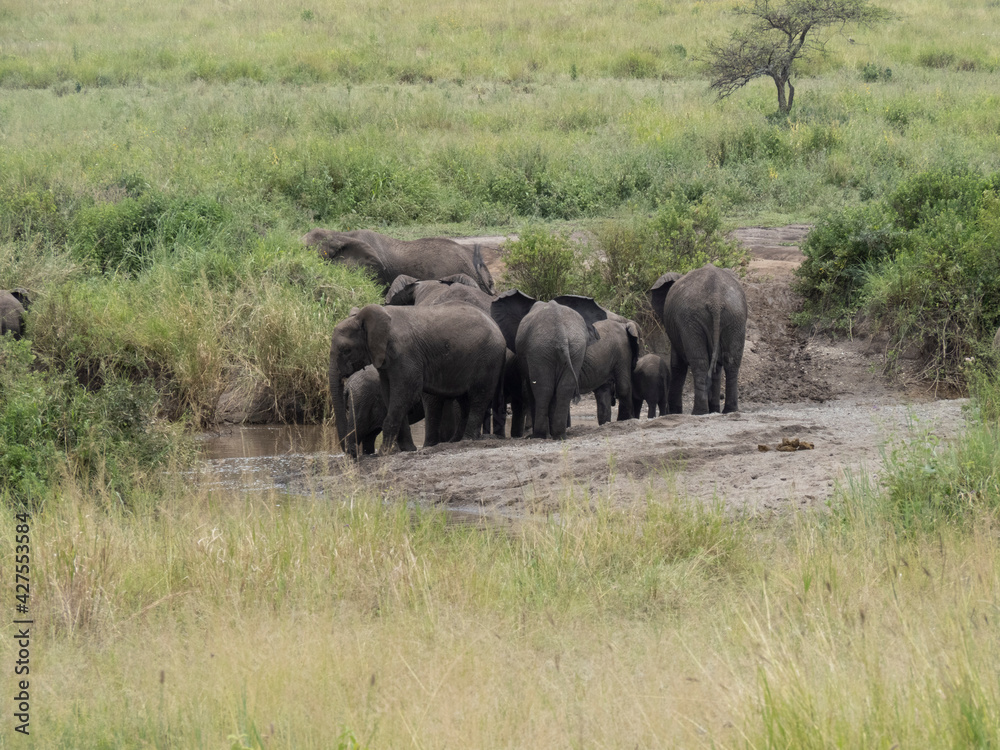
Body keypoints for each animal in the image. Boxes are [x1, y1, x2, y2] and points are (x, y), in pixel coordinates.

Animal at [330, 302, 508, 456]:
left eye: (346, 350)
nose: (351, 453)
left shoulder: (405, 355)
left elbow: (406, 393)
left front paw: (384, 453)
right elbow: (391, 395)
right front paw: (408, 449)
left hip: (489, 359)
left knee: (479, 397)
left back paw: (466, 440)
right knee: (465, 401)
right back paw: (456, 441)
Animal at [648, 264, 752, 418]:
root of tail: (716, 299)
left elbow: (677, 365)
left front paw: (674, 412)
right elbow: (717, 367)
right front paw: (714, 409)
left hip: (691, 320)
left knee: (699, 362)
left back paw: (699, 412)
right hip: (735, 316)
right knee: (731, 362)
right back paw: (729, 410)